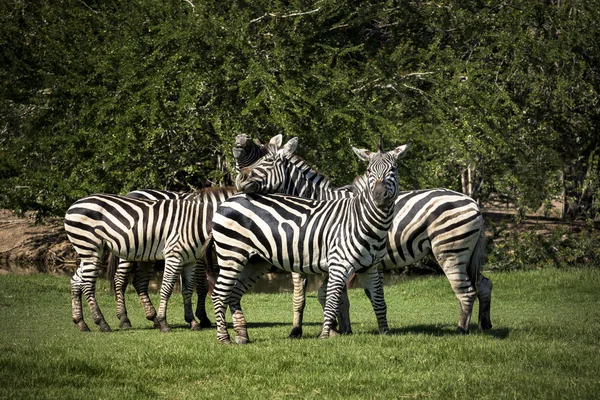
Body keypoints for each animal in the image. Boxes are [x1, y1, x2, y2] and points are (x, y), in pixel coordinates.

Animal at [64, 189, 234, 332]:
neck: (196, 222)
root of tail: (73, 206)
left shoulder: (190, 260)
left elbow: (187, 289)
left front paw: (193, 321)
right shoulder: (176, 256)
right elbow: (169, 288)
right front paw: (166, 322)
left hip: (89, 251)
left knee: (76, 280)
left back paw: (81, 322)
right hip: (93, 249)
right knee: (91, 284)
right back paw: (105, 322)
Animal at [209, 141, 410, 344]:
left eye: (394, 169)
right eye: (369, 170)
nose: (379, 195)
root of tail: (230, 199)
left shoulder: (369, 267)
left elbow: (377, 300)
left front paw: (381, 333)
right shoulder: (324, 263)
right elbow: (322, 298)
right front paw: (324, 332)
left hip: (255, 261)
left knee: (233, 292)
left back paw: (242, 334)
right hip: (231, 255)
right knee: (219, 294)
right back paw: (224, 338)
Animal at [234, 136, 492, 336]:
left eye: (266, 162)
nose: (239, 180)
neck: (316, 202)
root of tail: (472, 201)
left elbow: (317, 296)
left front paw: (321, 330)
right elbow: (330, 297)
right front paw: (341, 329)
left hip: (450, 251)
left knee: (466, 291)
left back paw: (461, 330)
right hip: (464, 254)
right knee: (484, 284)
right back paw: (484, 325)